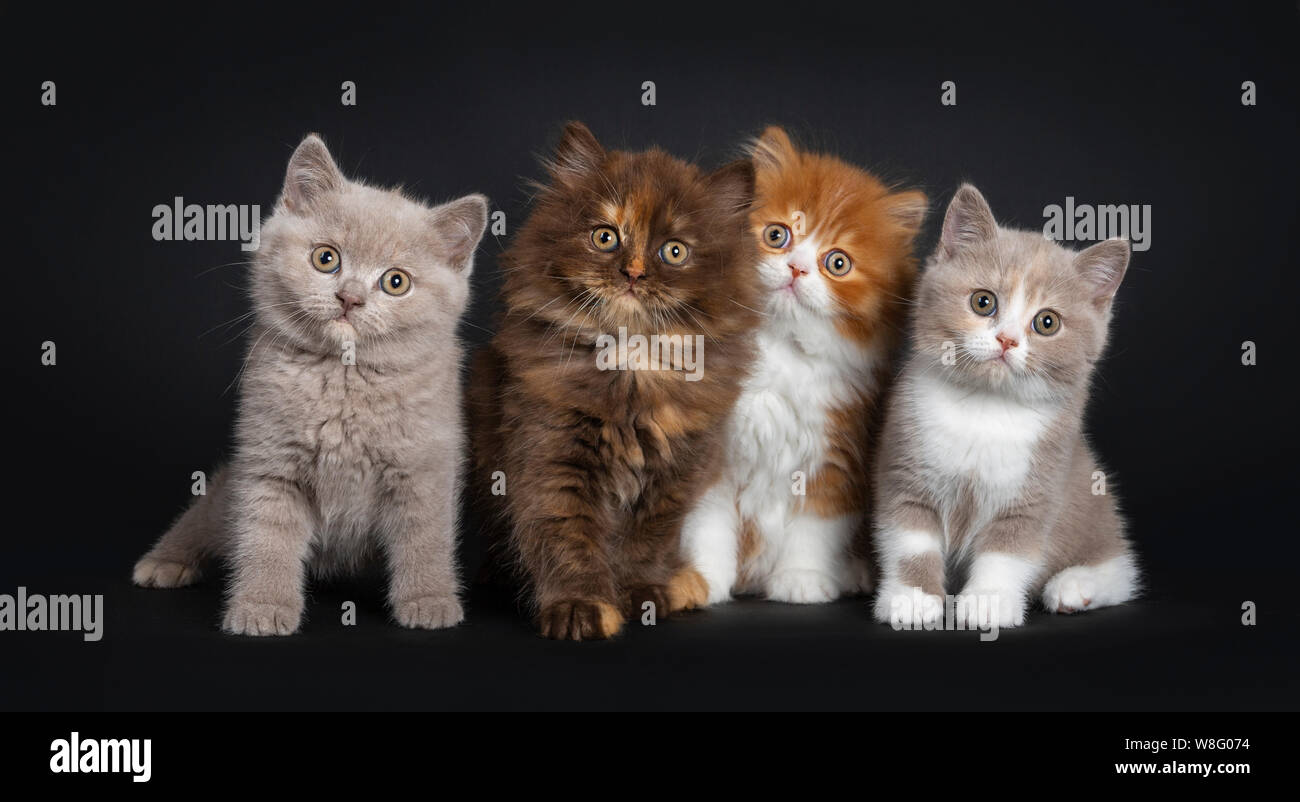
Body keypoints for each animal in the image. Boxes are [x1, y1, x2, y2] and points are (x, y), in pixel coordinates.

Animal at [131, 134, 488, 634]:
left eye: (396, 282)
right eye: (326, 258)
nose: (350, 297)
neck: (343, 380)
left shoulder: (423, 470)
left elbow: (425, 539)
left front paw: (429, 598)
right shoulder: (269, 464)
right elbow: (266, 538)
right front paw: (262, 605)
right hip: (227, 491)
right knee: (204, 516)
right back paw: (166, 561)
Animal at [467, 122, 759, 642]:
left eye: (674, 251)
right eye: (605, 237)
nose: (633, 273)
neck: (633, 365)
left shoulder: (676, 473)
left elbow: (647, 542)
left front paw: (642, 595)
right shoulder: (552, 456)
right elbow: (568, 539)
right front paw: (580, 607)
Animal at [681, 126, 925, 600]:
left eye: (837, 262)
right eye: (777, 236)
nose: (796, 269)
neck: (780, 350)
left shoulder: (837, 456)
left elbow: (815, 527)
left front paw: (802, 578)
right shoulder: (712, 452)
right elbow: (707, 522)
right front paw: (703, 579)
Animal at [873, 184, 1138, 629]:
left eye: (1047, 322)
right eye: (983, 302)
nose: (1007, 340)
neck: (986, 408)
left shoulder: (1039, 484)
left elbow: (1008, 549)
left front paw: (988, 602)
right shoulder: (906, 464)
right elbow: (910, 537)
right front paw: (913, 598)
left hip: (1094, 505)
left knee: (1121, 569)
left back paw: (1075, 586)